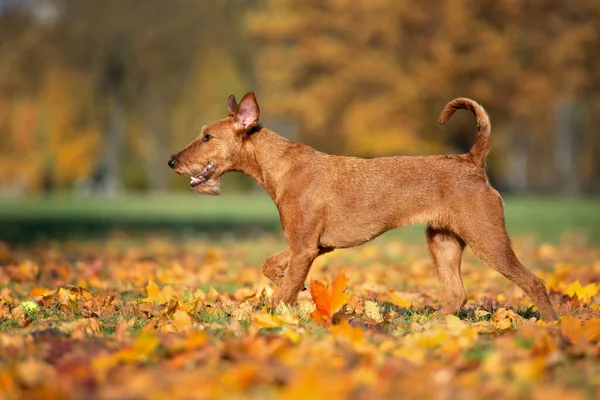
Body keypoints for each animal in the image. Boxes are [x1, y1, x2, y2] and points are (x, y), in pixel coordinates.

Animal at [168, 91, 556, 322]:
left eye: (207, 136)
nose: (172, 161)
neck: (281, 166)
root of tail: (472, 161)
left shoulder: (305, 247)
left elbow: (283, 294)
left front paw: (278, 320)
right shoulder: (312, 245)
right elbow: (272, 267)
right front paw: (287, 284)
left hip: (488, 240)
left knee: (535, 282)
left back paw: (552, 328)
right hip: (442, 242)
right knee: (457, 294)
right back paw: (431, 328)